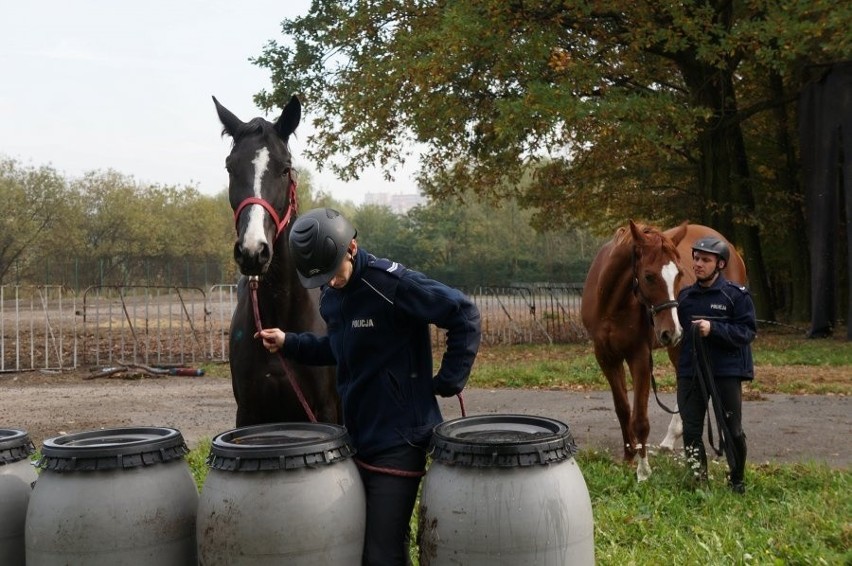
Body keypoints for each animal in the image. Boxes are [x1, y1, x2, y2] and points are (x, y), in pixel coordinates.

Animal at [580, 220, 744, 482]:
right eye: (648, 276)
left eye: (679, 274)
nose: (672, 331)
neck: (612, 303)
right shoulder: (606, 357)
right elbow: (623, 409)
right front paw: (628, 456)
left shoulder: (639, 356)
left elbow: (640, 418)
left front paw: (643, 470)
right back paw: (670, 439)